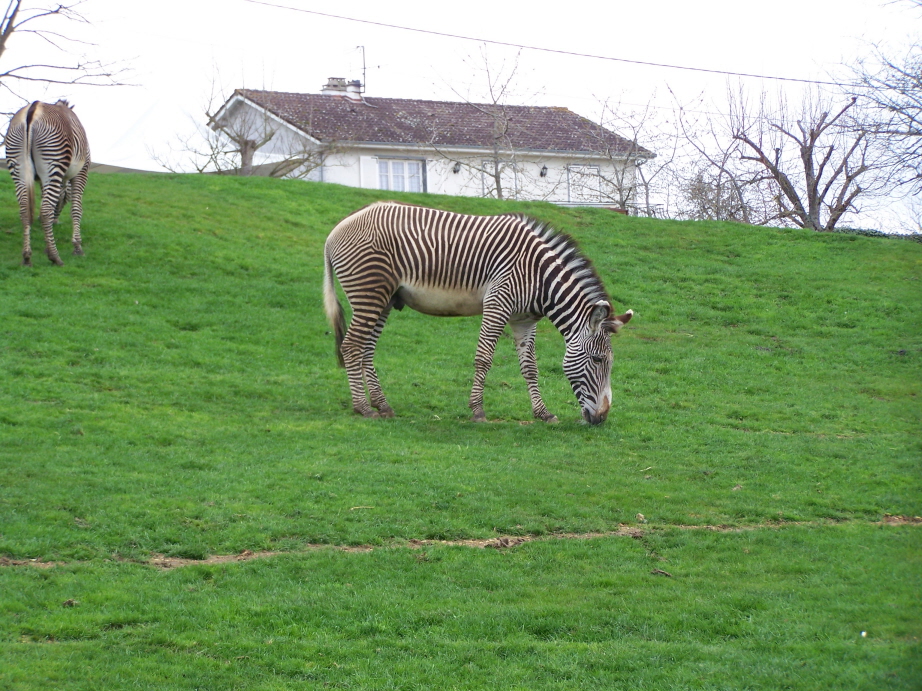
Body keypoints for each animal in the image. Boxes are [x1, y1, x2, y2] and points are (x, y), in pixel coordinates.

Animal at [4, 98, 90, 266]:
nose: (56, 222)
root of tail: (33, 108)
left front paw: (46, 244)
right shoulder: (81, 172)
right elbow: (76, 209)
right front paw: (77, 247)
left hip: (18, 165)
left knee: (25, 210)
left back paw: (27, 256)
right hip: (54, 160)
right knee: (46, 210)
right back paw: (55, 256)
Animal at [324, 200, 632, 424]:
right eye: (597, 360)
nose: (601, 418)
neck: (540, 278)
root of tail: (336, 229)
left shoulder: (524, 319)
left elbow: (530, 367)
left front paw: (543, 413)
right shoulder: (498, 303)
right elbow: (483, 358)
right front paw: (477, 410)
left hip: (384, 299)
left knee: (365, 349)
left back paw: (382, 404)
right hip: (369, 293)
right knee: (351, 346)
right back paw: (363, 407)